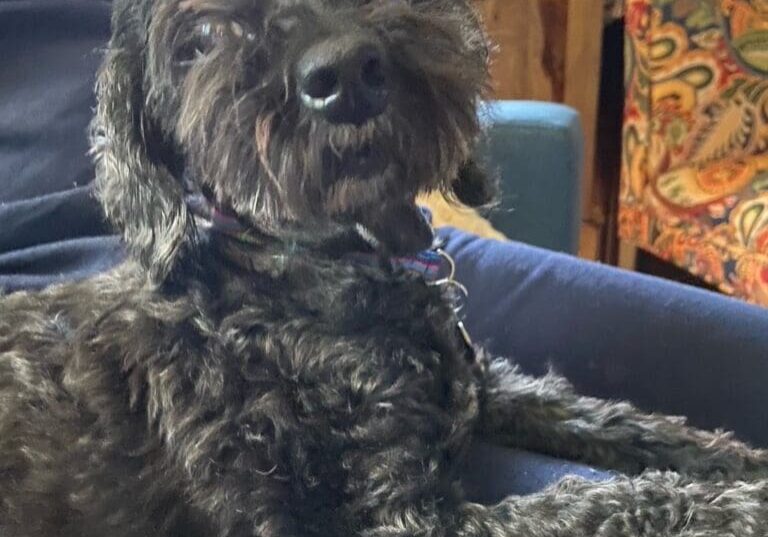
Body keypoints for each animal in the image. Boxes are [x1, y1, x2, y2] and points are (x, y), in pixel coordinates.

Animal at [3, 1, 768, 536]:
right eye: (204, 38)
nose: (343, 73)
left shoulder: (484, 385)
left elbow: (614, 421)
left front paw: (740, 462)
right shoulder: (402, 519)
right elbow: (599, 505)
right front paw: (732, 504)